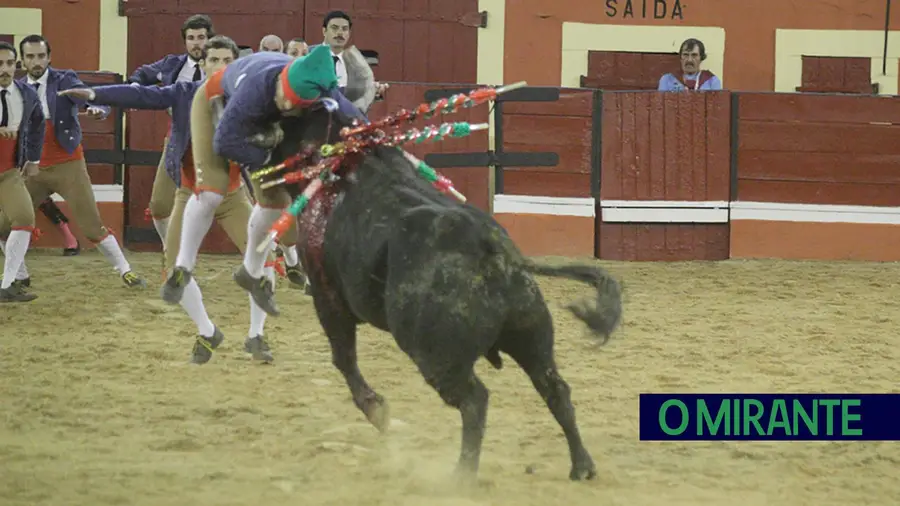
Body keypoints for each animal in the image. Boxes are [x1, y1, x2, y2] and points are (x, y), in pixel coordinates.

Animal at [264, 108, 624, 480]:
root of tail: (494, 248)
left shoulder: (328, 297)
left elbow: (343, 358)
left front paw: (377, 411)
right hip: (531, 337)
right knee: (555, 389)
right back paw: (581, 466)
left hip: (436, 358)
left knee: (475, 399)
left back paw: (462, 475)